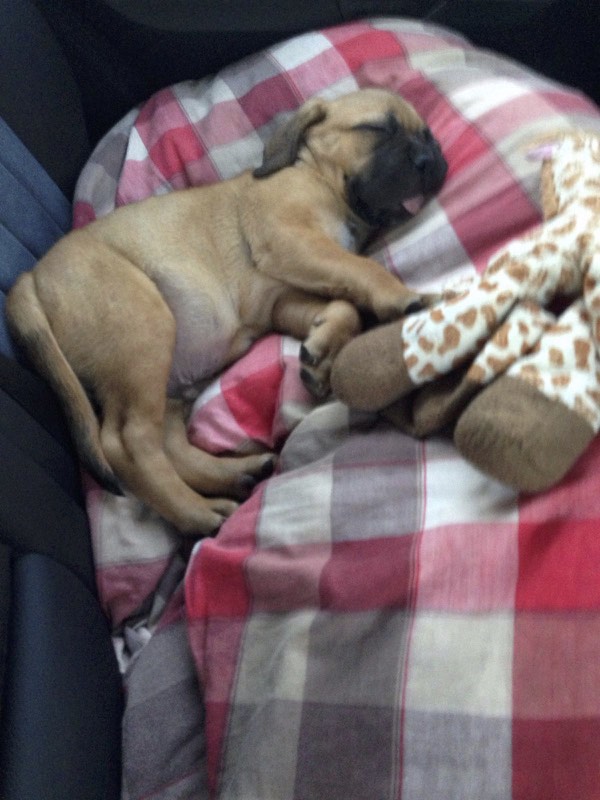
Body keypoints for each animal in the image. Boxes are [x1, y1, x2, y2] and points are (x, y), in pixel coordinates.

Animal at [6, 87, 447, 535]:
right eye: (378, 128)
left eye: (427, 134)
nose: (432, 160)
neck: (316, 176)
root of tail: (30, 277)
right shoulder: (294, 242)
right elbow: (362, 269)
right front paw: (401, 295)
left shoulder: (283, 298)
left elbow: (344, 305)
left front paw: (322, 350)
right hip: (144, 330)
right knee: (128, 443)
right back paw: (197, 512)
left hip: (166, 378)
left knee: (168, 444)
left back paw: (236, 475)